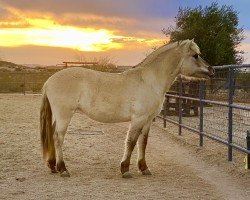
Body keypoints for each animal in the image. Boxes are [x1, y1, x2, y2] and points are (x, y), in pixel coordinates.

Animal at [40, 39, 214, 178]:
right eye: (195, 55)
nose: (212, 70)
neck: (149, 81)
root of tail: (49, 81)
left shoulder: (147, 120)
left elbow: (143, 142)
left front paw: (144, 168)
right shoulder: (138, 119)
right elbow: (131, 142)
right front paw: (125, 169)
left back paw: (53, 166)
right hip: (64, 116)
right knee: (58, 137)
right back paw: (63, 169)